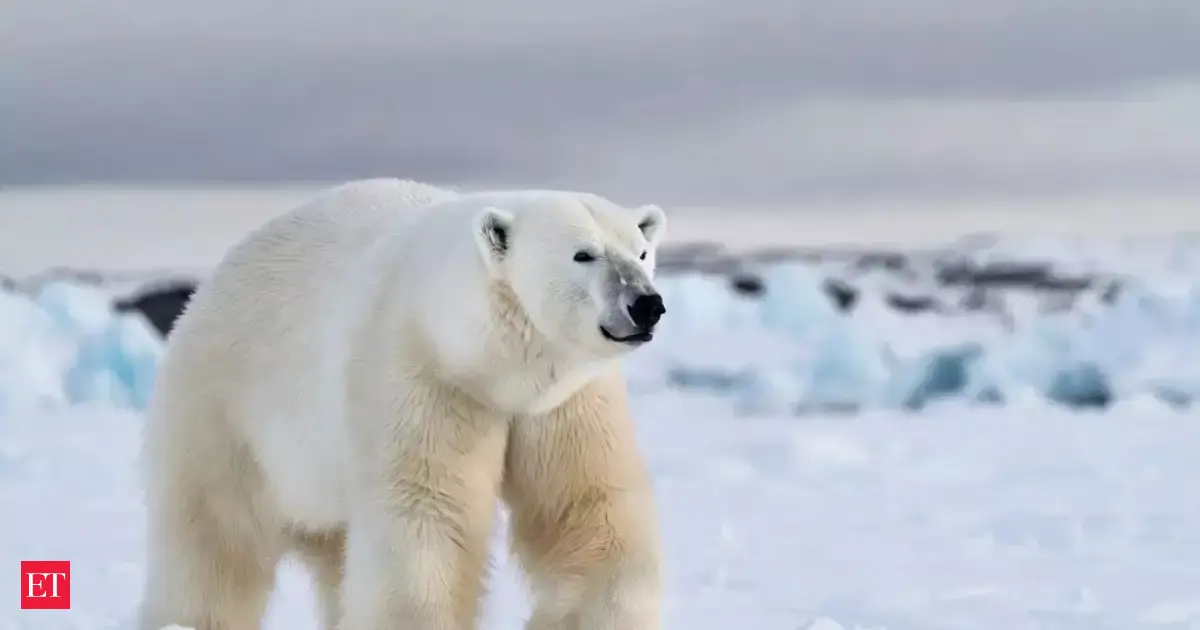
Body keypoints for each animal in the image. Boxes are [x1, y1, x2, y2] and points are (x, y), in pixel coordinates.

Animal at [135, 178, 668, 630]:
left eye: (642, 252)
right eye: (584, 254)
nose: (647, 304)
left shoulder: (564, 401)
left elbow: (585, 507)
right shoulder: (418, 373)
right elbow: (426, 517)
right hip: (224, 413)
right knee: (214, 543)